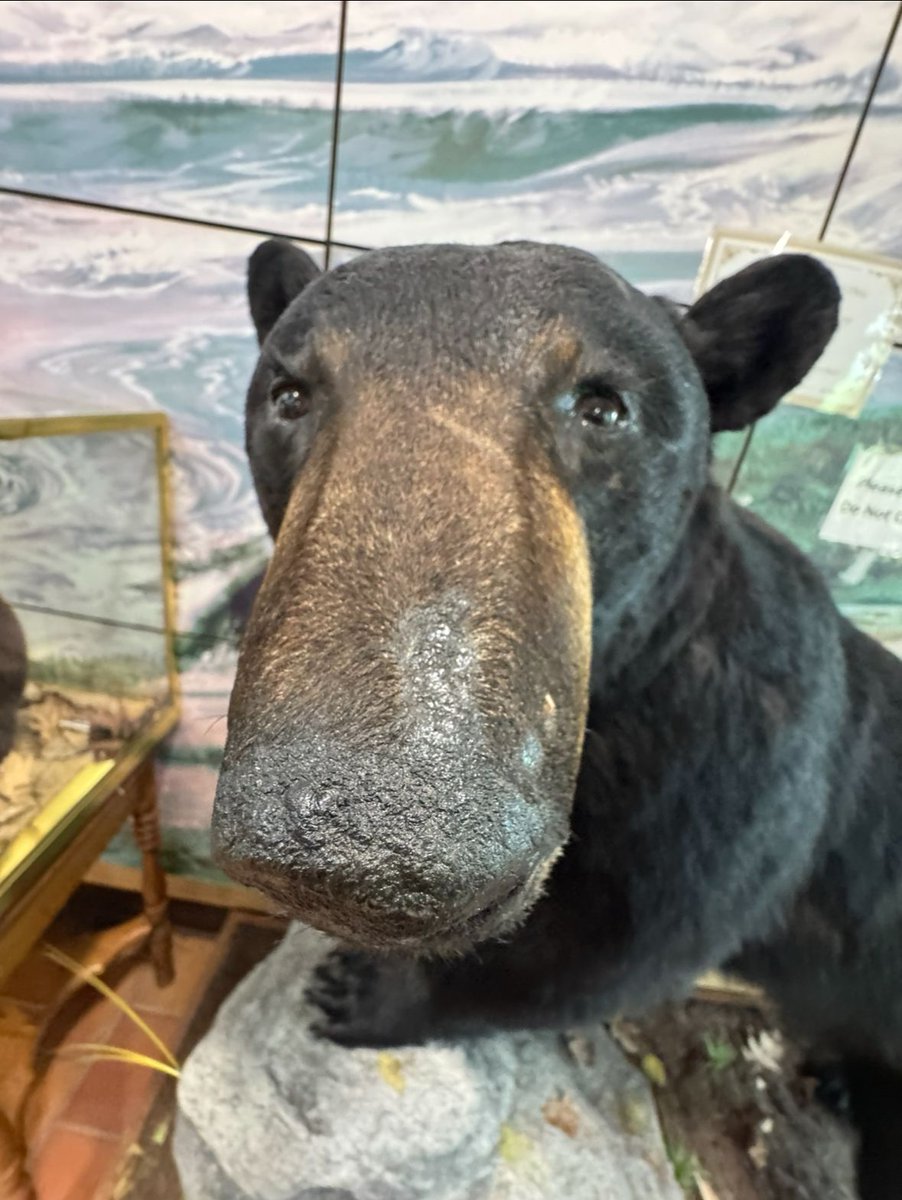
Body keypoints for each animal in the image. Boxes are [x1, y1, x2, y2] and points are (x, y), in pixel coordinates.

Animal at [213, 239, 902, 1199]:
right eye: (289, 393)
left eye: (604, 404)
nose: (365, 852)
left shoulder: (736, 780)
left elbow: (602, 950)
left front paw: (358, 993)